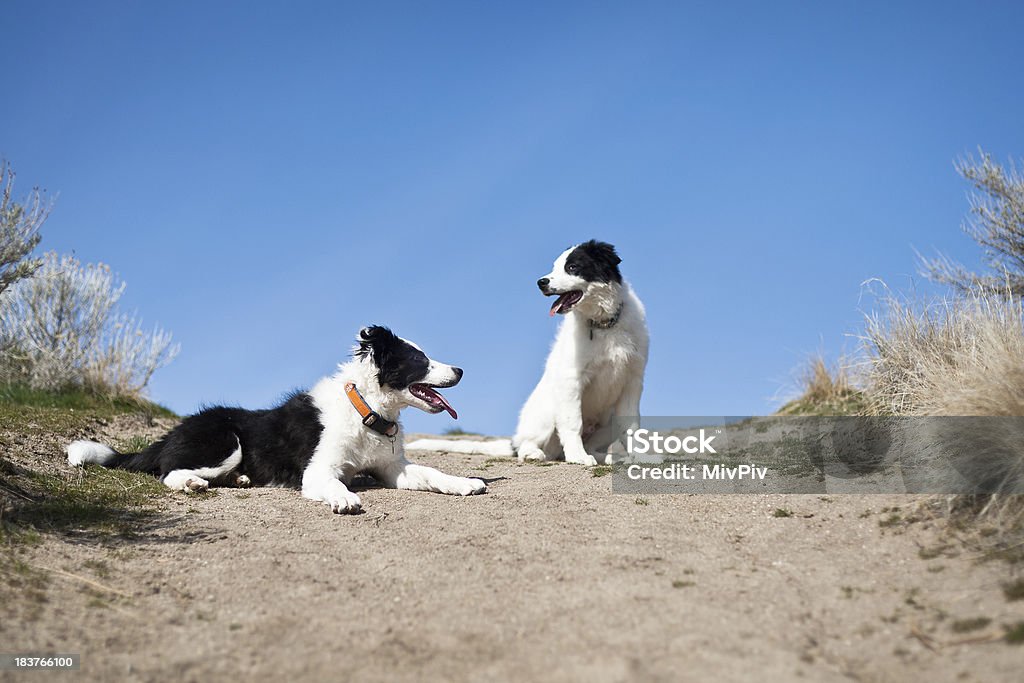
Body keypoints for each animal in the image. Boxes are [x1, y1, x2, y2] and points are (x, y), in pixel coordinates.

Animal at [67, 325, 487, 511]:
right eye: (420, 361)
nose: (461, 370)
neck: (365, 409)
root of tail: (171, 432)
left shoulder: (392, 468)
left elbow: (432, 473)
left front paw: (465, 483)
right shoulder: (317, 471)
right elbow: (334, 484)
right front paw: (344, 497)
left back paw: (238, 480)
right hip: (224, 441)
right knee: (167, 471)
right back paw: (192, 483)